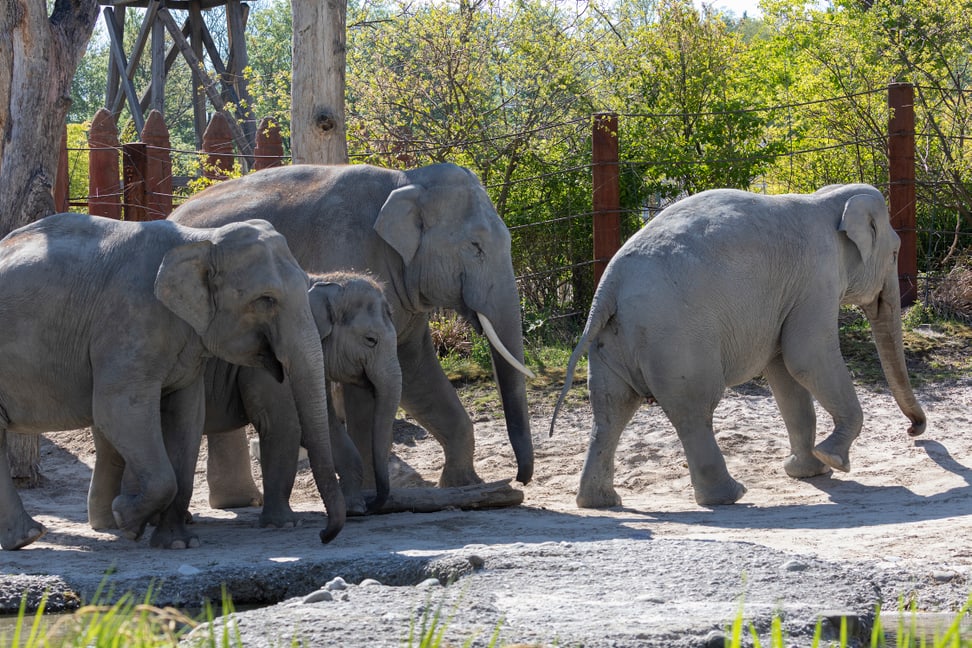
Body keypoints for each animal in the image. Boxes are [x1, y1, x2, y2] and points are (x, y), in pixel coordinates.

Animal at [0, 215, 348, 548]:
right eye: (266, 300)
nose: (324, 536)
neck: (200, 242)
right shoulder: (128, 324)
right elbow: (118, 410)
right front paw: (127, 520)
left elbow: (187, 416)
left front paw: (178, 543)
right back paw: (33, 536)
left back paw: (25, 538)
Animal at [171, 163, 536, 492]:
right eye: (475, 246)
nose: (520, 479)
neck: (406, 180)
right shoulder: (349, 250)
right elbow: (370, 383)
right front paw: (376, 494)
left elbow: (414, 370)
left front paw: (463, 484)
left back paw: (241, 501)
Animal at [556, 185, 928, 508]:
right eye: (895, 252)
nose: (914, 430)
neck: (826, 200)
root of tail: (610, 285)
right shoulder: (816, 277)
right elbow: (808, 357)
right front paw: (833, 459)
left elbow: (784, 371)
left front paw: (809, 471)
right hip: (677, 338)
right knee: (693, 408)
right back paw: (729, 495)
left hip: (613, 339)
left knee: (611, 409)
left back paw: (600, 502)